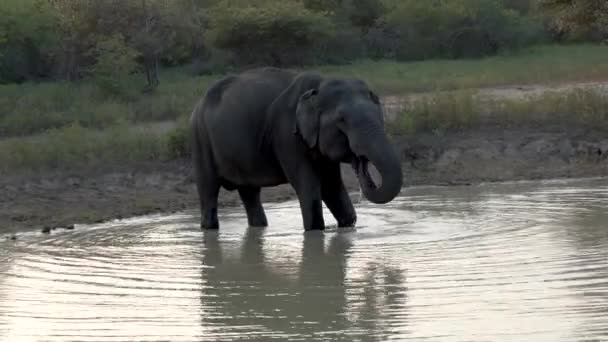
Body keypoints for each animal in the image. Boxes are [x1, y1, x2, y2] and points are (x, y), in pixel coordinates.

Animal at [188, 66, 402, 230]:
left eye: (380, 115)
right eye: (342, 120)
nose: (360, 162)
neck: (319, 85)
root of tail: (198, 104)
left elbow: (332, 185)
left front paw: (348, 225)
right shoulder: (286, 134)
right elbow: (309, 185)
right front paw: (315, 230)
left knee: (250, 193)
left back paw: (259, 227)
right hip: (200, 138)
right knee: (209, 189)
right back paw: (209, 227)